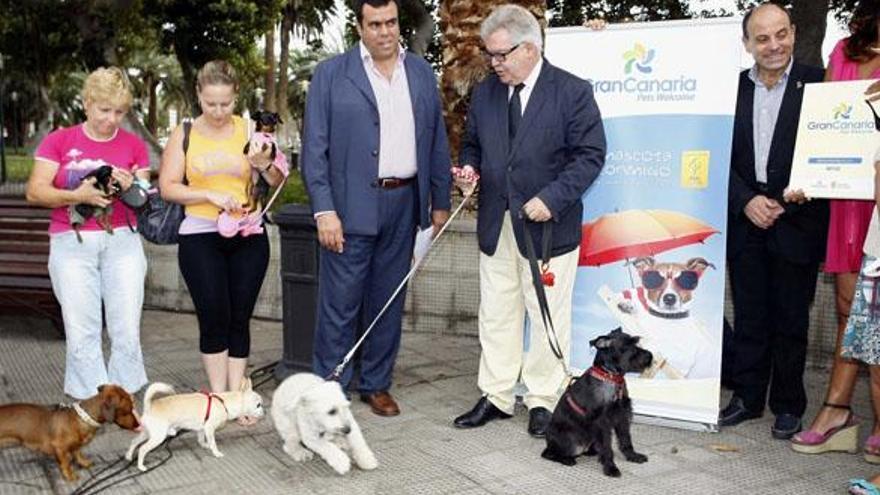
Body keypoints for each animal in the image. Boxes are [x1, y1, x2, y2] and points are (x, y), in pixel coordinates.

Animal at [0, 386, 138, 482]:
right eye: (127, 411)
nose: (138, 425)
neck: (80, 418)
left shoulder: (76, 445)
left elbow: (77, 452)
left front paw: (83, 462)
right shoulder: (60, 448)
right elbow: (66, 463)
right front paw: (70, 475)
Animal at [127, 380, 262, 472]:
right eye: (258, 405)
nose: (264, 411)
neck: (224, 403)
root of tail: (149, 406)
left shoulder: (202, 429)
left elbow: (201, 440)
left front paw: (205, 446)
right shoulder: (209, 428)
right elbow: (213, 442)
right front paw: (216, 453)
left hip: (147, 433)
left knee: (134, 441)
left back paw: (128, 456)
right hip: (158, 437)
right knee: (142, 448)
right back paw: (141, 466)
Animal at [540, 330, 656, 476]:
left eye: (636, 342)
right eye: (626, 346)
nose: (649, 355)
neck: (611, 377)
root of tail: (548, 441)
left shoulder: (622, 415)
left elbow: (626, 440)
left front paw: (633, 456)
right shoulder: (601, 422)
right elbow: (607, 447)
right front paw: (611, 467)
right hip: (573, 443)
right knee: (548, 454)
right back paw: (567, 459)